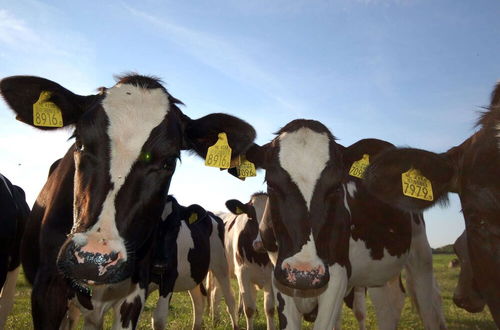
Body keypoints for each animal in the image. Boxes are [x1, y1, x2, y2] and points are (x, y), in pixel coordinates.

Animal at [148, 196, 238, 330]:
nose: (160, 265)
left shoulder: (169, 276)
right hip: (193, 274)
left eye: (177, 226)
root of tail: (210, 214)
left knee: (230, 299)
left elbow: (158, 320)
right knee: (199, 301)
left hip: (220, 264)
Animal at [242, 122, 446, 330]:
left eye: (335, 187)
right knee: (389, 306)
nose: (303, 274)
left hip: (421, 255)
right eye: (271, 184)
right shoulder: (279, 276)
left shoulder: (338, 275)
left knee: (428, 309)